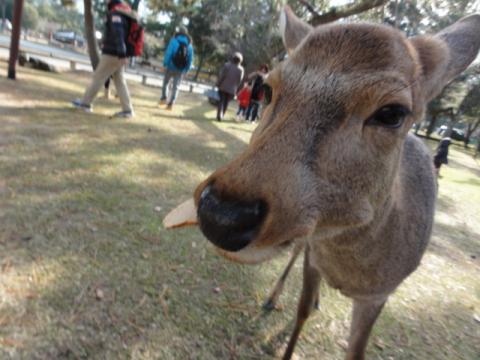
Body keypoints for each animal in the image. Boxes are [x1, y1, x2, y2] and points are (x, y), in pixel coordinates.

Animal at [166, 5, 480, 360]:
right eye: (269, 89)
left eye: (392, 113)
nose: (222, 215)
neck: (349, 269)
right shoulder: (313, 255)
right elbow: (301, 309)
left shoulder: (380, 294)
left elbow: (356, 350)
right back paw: (273, 297)